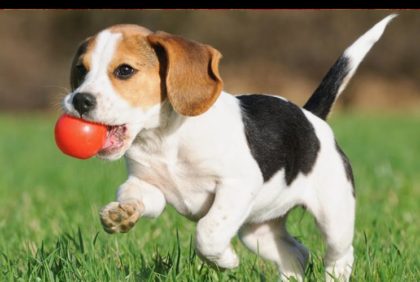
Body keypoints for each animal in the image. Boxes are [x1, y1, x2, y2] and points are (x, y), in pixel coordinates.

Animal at [61, 14, 394, 280]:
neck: (165, 139)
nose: (79, 100)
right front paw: (122, 213)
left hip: (334, 215)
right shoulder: (147, 185)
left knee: (339, 255)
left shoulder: (237, 185)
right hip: (258, 230)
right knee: (296, 255)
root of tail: (311, 116)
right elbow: (135, 195)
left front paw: (225, 261)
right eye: (80, 70)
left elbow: (208, 232)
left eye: (125, 71)